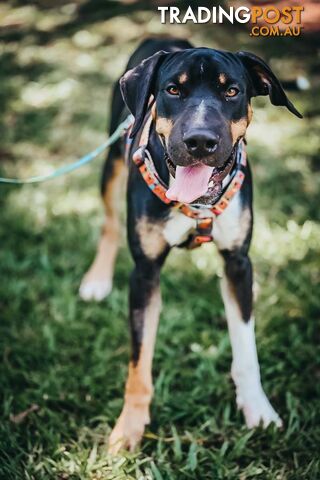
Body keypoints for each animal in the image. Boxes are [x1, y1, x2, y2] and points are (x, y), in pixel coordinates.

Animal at [79, 38, 302, 454]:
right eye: (172, 90)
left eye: (232, 91)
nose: (200, 141)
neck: (197, 203)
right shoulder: (144, 274)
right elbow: (139, 363)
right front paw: (128, 428)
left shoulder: (238, 263)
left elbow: (246, 348)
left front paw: (258, 410)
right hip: (112, 158)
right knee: (109, 223)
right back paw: (97, 279)